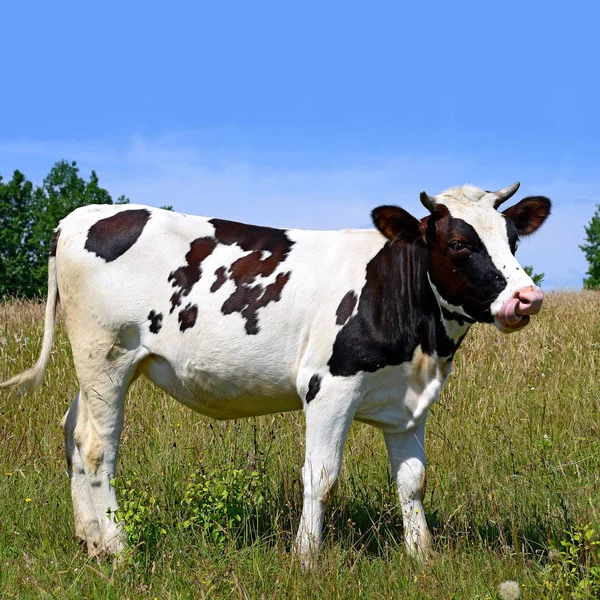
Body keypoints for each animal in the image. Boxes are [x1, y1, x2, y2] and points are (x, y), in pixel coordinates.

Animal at [0, 182, 552, 564]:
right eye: (460, 243)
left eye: (513, 240)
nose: (528, 297)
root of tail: (83, 214)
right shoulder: (330, 387)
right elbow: (322, 476)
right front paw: (306, 558)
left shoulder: (406, 403)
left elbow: (412, 481)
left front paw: (423, 559)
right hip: (106, 353)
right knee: (98, 446)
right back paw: (118, 547)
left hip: (104, 366)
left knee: (74, 431)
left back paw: (90, 540)